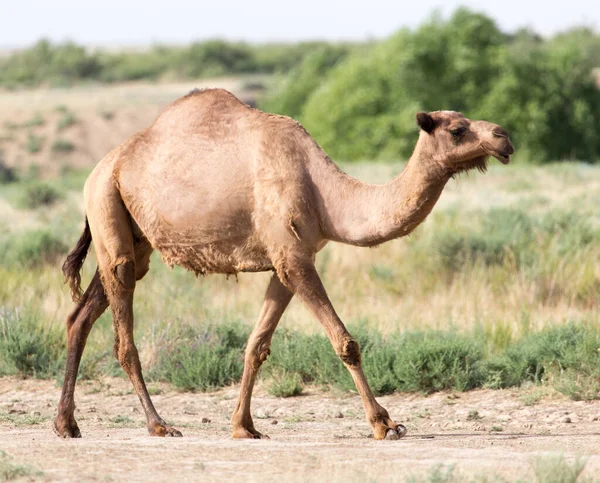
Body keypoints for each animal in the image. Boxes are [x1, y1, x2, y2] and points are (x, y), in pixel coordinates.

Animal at [54, 88, 516, 442]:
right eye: (457, 129)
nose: (504, 137)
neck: (324, 192)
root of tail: (100, 168)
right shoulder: (292, 257)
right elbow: (345, 342)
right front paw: (385, 424)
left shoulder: (287, 260)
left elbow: (256, 344)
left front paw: (243, 427)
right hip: (108, 208)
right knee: (123, 336)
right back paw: (158, 425)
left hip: (135, 239)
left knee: (80, 315)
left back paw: (66, 424)